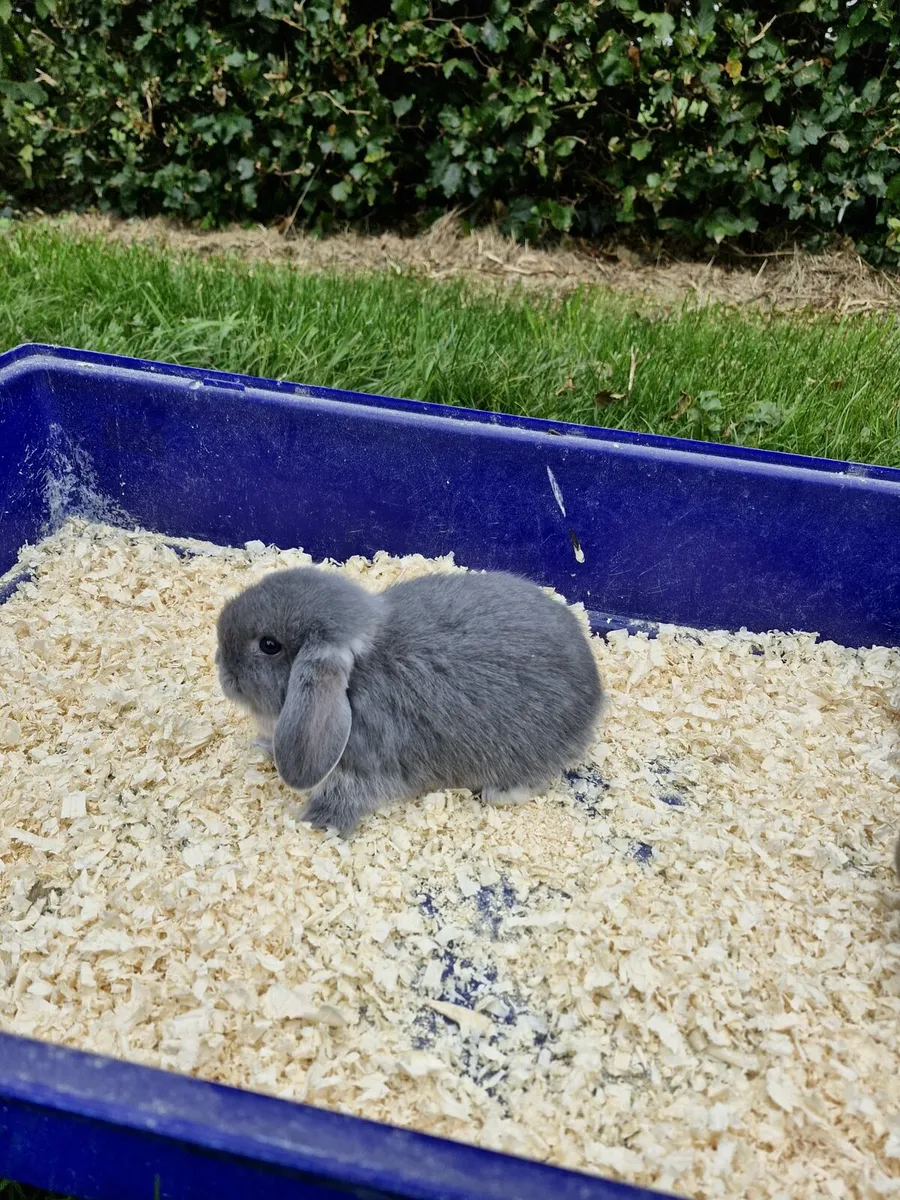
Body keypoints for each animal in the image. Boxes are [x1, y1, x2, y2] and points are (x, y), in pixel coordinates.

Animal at [216, 566, 604, 836]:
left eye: (269, 645)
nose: (220, 667)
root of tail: (596, 694)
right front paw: (263, 746)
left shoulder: (359, 769)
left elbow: (341, 798)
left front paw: (315, 825)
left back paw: (498, 794)